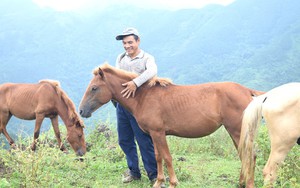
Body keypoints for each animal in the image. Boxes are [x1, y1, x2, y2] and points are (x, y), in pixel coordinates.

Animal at [78, 63, 264, 188]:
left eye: (94, 88)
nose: (81, 111)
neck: (143, 97)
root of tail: (246, 91)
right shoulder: (153, 134)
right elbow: (158, 156)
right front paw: (159, 182)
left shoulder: (158, 133)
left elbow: (167, 157)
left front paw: (173, 182)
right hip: (235, 131)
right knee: (243, 155)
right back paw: (241, 182)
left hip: (237, 131)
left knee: (250, 154)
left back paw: (249, 184)